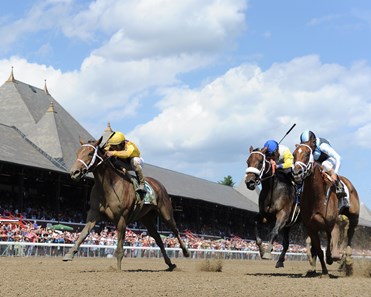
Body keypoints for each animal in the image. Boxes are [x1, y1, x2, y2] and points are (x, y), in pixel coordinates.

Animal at [62, 138, 190, 270]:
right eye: (77, 153)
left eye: (90, 153)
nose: (74, 172)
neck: (108, 186)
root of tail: (159, 184)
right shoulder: (94, 214)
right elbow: (83, 234)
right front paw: (69, 254)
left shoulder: (121, 218)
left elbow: (120, 246)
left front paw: (118, 269)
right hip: (147, 219)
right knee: (158, 238)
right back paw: (170, 264)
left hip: (166, 213)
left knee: (175, 230)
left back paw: (186, 252)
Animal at [294, 143, 360, 276]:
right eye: (293, 154)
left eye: (307, 154)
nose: (297, 172)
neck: (316, 195)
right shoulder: (310, 227)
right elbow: (318, 249)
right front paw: (323, 270)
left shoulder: (332, 221)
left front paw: (334, 258)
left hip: (353, 217)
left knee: (350, 234)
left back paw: (347, 262)